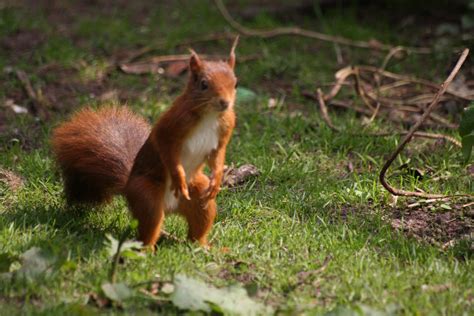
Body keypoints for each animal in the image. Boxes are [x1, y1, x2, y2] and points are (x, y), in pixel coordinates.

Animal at [53, 37, 239, 247]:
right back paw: (148, 248)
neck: (209, 115)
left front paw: (217, 180)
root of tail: (169, 207)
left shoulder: (226, 128)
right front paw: (178, 178)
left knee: (198, 224)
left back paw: (203, 246)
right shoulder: (171, 125)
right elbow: (166, 148)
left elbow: (218, 155)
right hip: (146, 195)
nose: (225, 103)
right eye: (204, 84)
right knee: (149, 225)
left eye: (235, 84)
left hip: (199, 195)